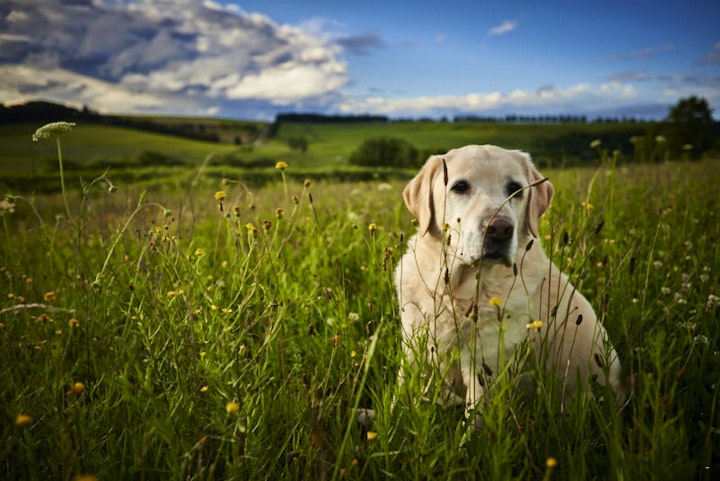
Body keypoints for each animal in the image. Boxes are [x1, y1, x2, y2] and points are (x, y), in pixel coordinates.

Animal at [394, 144, 624, 426]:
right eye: (460, 186)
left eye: (515, 189)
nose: (500, 229)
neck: (456, 289)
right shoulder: (412, 347)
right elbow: (399, 396)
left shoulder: (485, 364)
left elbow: (475, 421)